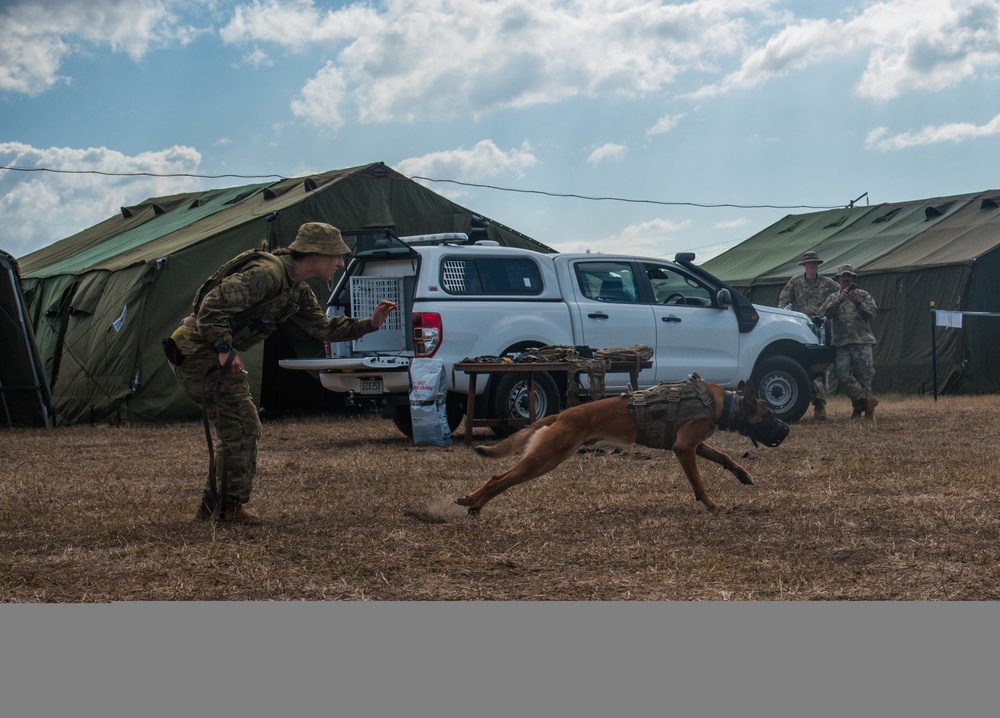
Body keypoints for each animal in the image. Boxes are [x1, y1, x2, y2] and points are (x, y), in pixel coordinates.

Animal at [456, 376, 788, 516]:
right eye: (769, 415)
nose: (785, 430)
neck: (724, 405)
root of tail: (561, 414)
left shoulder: (694, 445)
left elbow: (724, 456)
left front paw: (742, 475)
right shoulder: (684, 448)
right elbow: (699, 483)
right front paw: (711, 504)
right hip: (546, 458)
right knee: (499, 478)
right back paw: (474, 502)